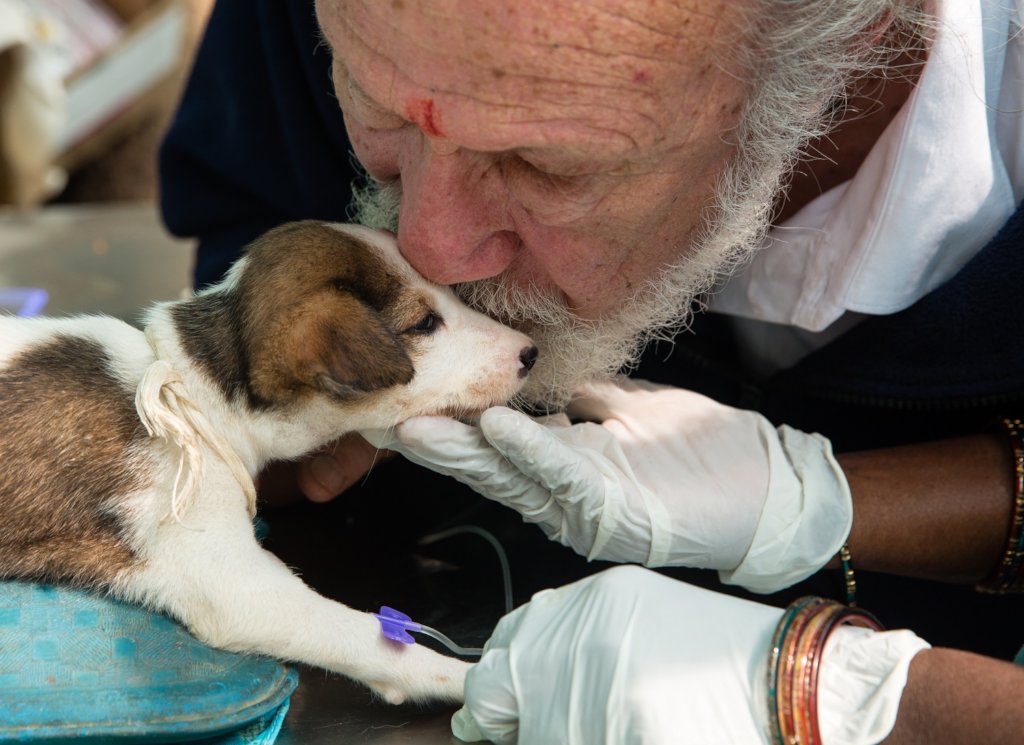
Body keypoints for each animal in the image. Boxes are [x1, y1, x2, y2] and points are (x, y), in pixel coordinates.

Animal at [0, 220, 538, 705]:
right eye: (424, 323)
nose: (530, 352)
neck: (191, 387)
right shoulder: (230, 578)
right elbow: (361, 636)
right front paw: (466, 677)